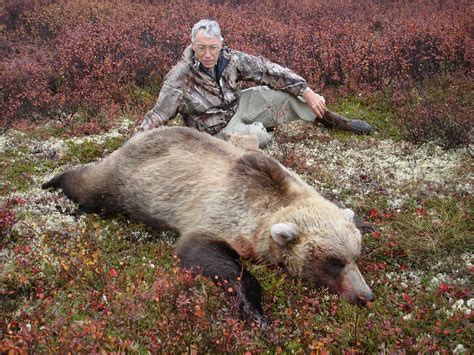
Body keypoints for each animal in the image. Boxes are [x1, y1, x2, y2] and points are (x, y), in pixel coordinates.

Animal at [41, 127, 374, 326]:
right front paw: (255, 311)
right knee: (90, 187)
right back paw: (51, 182)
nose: (366, 296)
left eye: (355, 257)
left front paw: (367, 222)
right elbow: (204, 252)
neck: (273, 202)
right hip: (126, 181)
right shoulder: (224, 214)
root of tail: (139, 134)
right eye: (334, 261)